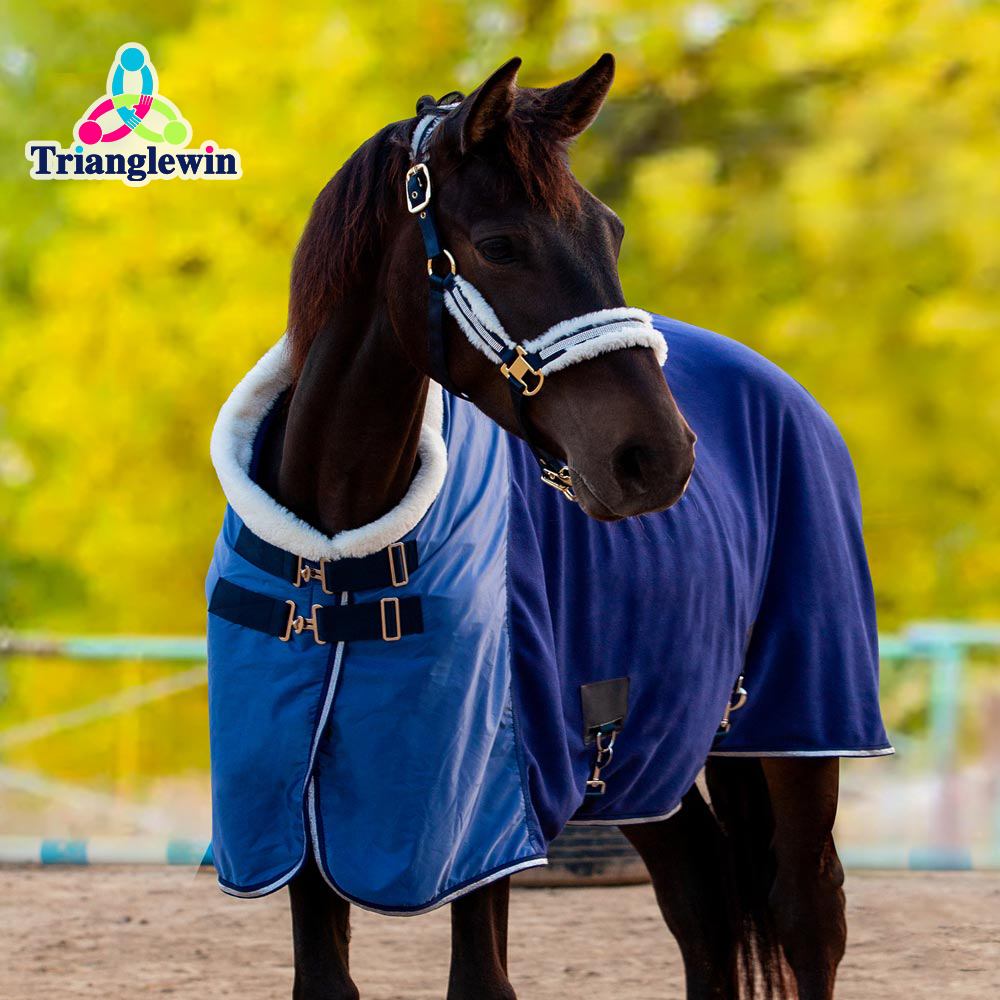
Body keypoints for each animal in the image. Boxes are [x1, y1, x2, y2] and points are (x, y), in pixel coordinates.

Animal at [204, 53, 892, 1000]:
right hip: (644, 754)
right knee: (703, 901)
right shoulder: (297, 821)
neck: (341, 558)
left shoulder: (483, 824)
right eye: (500, 245)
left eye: (612, 234)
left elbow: (480, 980)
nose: (656, 457)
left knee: (806, 916)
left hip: (798, 728)